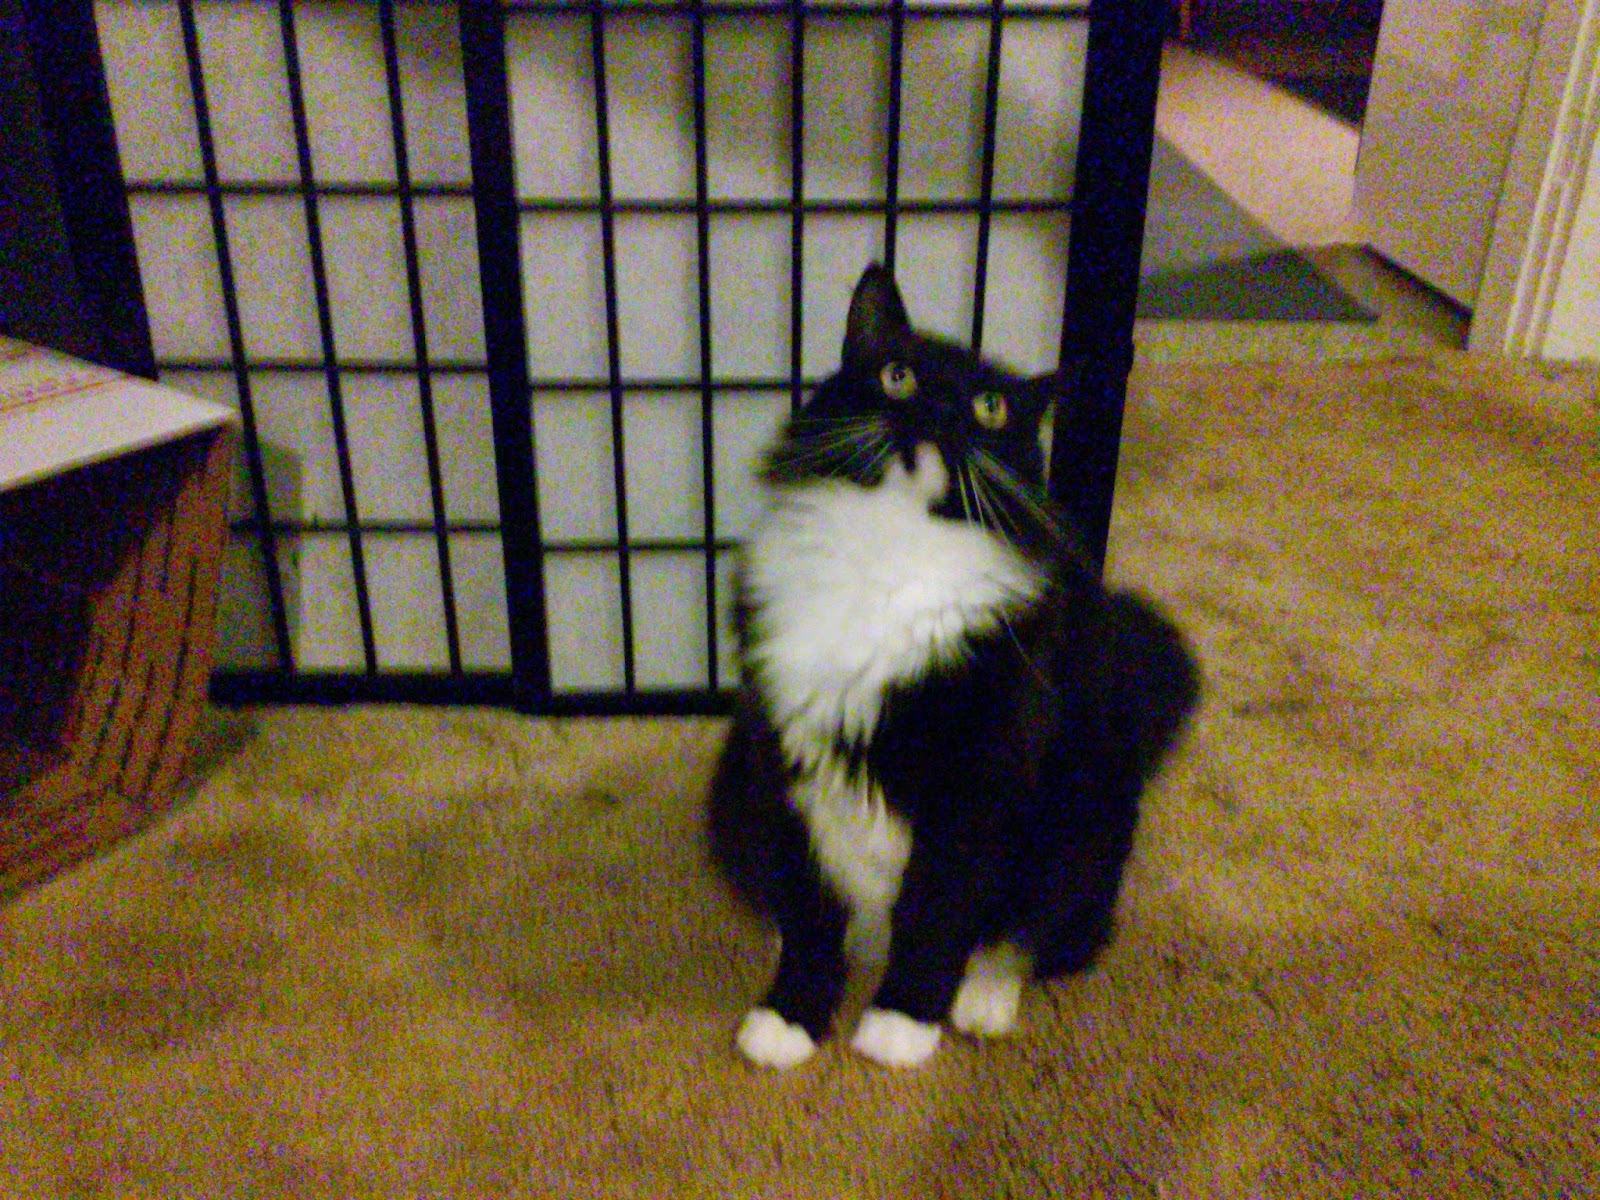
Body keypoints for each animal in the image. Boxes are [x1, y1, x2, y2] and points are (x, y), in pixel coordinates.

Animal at [709, 264, 1201, 1070]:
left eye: (990, 407)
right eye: (897, 376)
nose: (940, 411)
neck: (888, 553)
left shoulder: (976, 786)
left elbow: (937, 912)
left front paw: (901, 1022)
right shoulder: (787, 767)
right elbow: (812, 916)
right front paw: (790, 1016)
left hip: (1083, 827)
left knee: (1032, 938)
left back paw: (980, 1002)